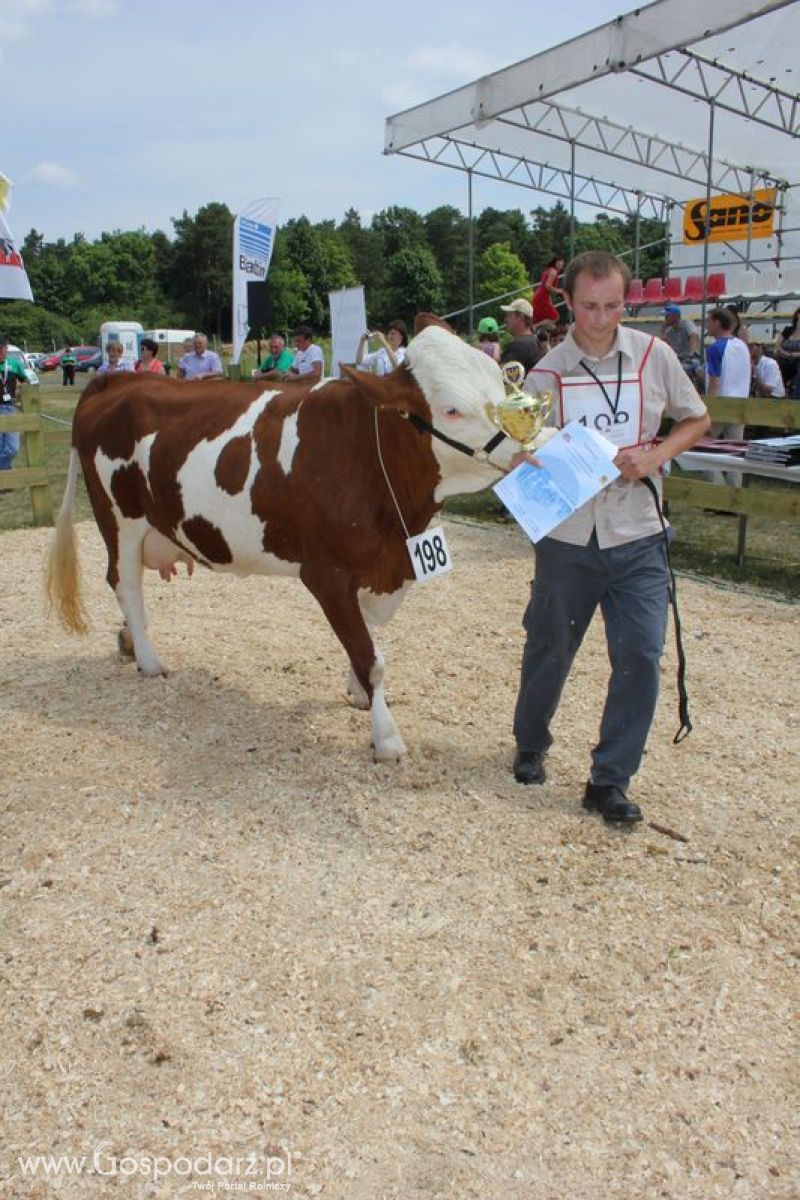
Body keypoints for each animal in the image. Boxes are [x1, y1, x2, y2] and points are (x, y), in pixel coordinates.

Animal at [45, 321, 520, 758]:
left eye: (500, 381)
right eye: (452, 409)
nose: (524, 447)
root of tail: (120, 380)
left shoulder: (378, 565)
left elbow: (363, 640)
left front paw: (359, 695)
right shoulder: (326, 573)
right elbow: (371, 657)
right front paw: (386, 737)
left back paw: (128, 641)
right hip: (119, 520)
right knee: (124, 584)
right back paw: (148, 659)